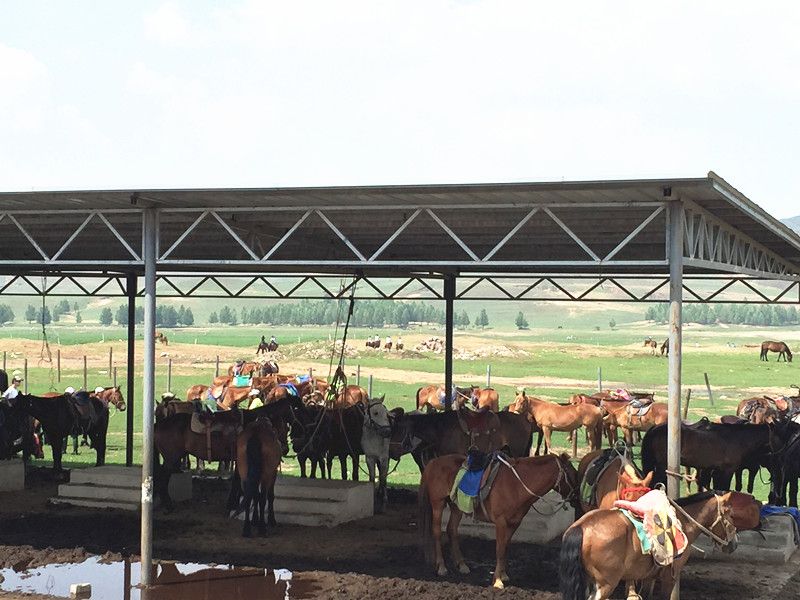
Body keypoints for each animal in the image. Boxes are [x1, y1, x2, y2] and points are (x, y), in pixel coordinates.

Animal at [418, 452, 580, 588]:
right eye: (572, 473)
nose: (577, 497)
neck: (516, 485)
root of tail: (433, 462)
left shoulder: (514, 523)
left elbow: (505, 547)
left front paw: (503, 575)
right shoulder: (501, 523)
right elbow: (499, 549)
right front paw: (497, 580)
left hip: (456, 507)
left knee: (452, 530)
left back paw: (462, 565)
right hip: (438, 504)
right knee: (437, 532)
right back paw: (441, 567)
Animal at [560, 492, 736, 600]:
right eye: (730, 515)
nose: (733, 544)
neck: (683, 524)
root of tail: (581, 527)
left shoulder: (649, 577)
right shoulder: (669, 578)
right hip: (606, 584)